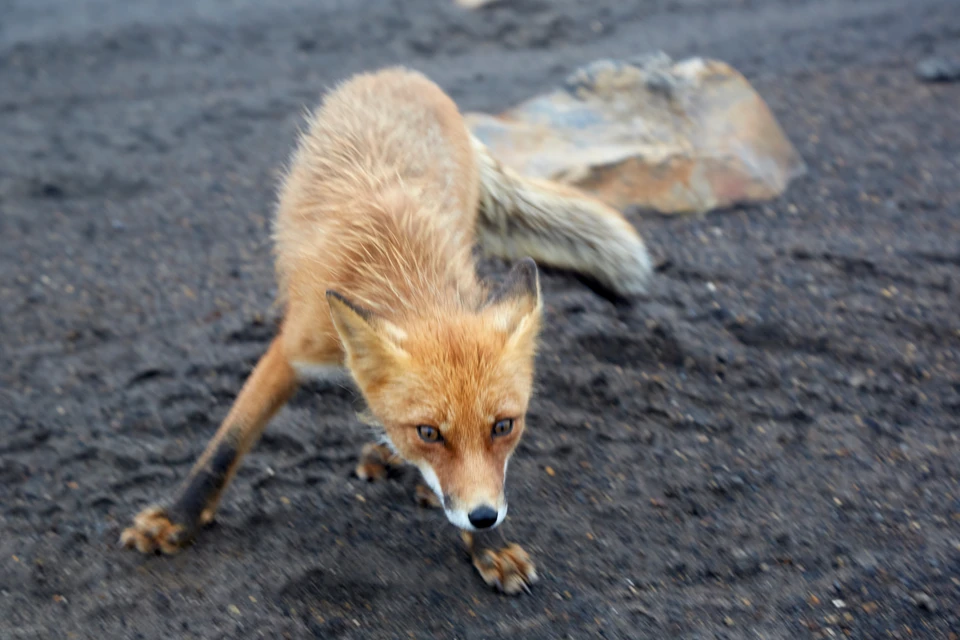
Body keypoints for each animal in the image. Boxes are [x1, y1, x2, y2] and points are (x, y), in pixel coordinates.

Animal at [120, 66, 652, 596]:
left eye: (503, 426)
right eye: (429, 432)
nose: (483, 518)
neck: (401, 264)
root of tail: (402, 73)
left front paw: (488, 546)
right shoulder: (294, 346)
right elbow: (227, 443)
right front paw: (177, 519)